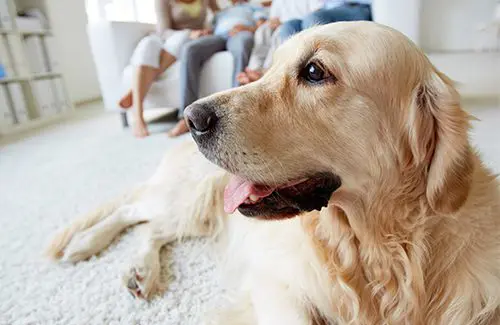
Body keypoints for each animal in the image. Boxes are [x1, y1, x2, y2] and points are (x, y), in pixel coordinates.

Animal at [47, 21, 500, 322]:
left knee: (152, 227)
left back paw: (138, 270)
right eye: (268, 69)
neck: (376, 249)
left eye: (315, 71)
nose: (192, 118)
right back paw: (87, 244)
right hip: (193, 197)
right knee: (136, 211)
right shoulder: (277, 284)